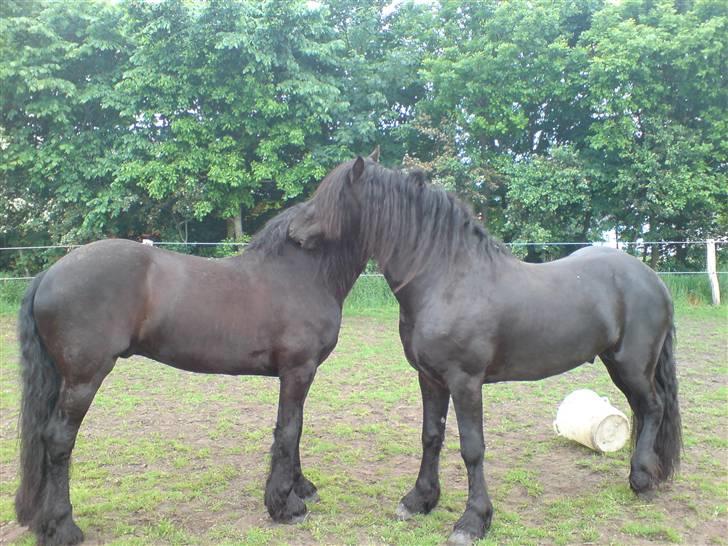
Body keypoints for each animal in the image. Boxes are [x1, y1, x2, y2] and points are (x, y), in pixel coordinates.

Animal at [15, 199, 376, 540]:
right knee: (58, 440)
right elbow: (289, 431)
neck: (303, 272)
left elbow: (293, 429)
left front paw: (301, 489)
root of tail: (48, 275)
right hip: (83, 380)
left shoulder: (297, 375)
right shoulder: (298, 371)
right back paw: (63, 528)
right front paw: (287, 506)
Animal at [288, 154, 684, 544]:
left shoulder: (465, 382)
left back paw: (642, 480)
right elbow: (431, 436)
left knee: (652, 409)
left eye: (330, 195)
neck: (447, 280)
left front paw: (473, 521)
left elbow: (472, 448)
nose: (292, 230)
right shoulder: (430, 379)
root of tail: (653, 280)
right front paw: (419, 500)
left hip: (631, 366)